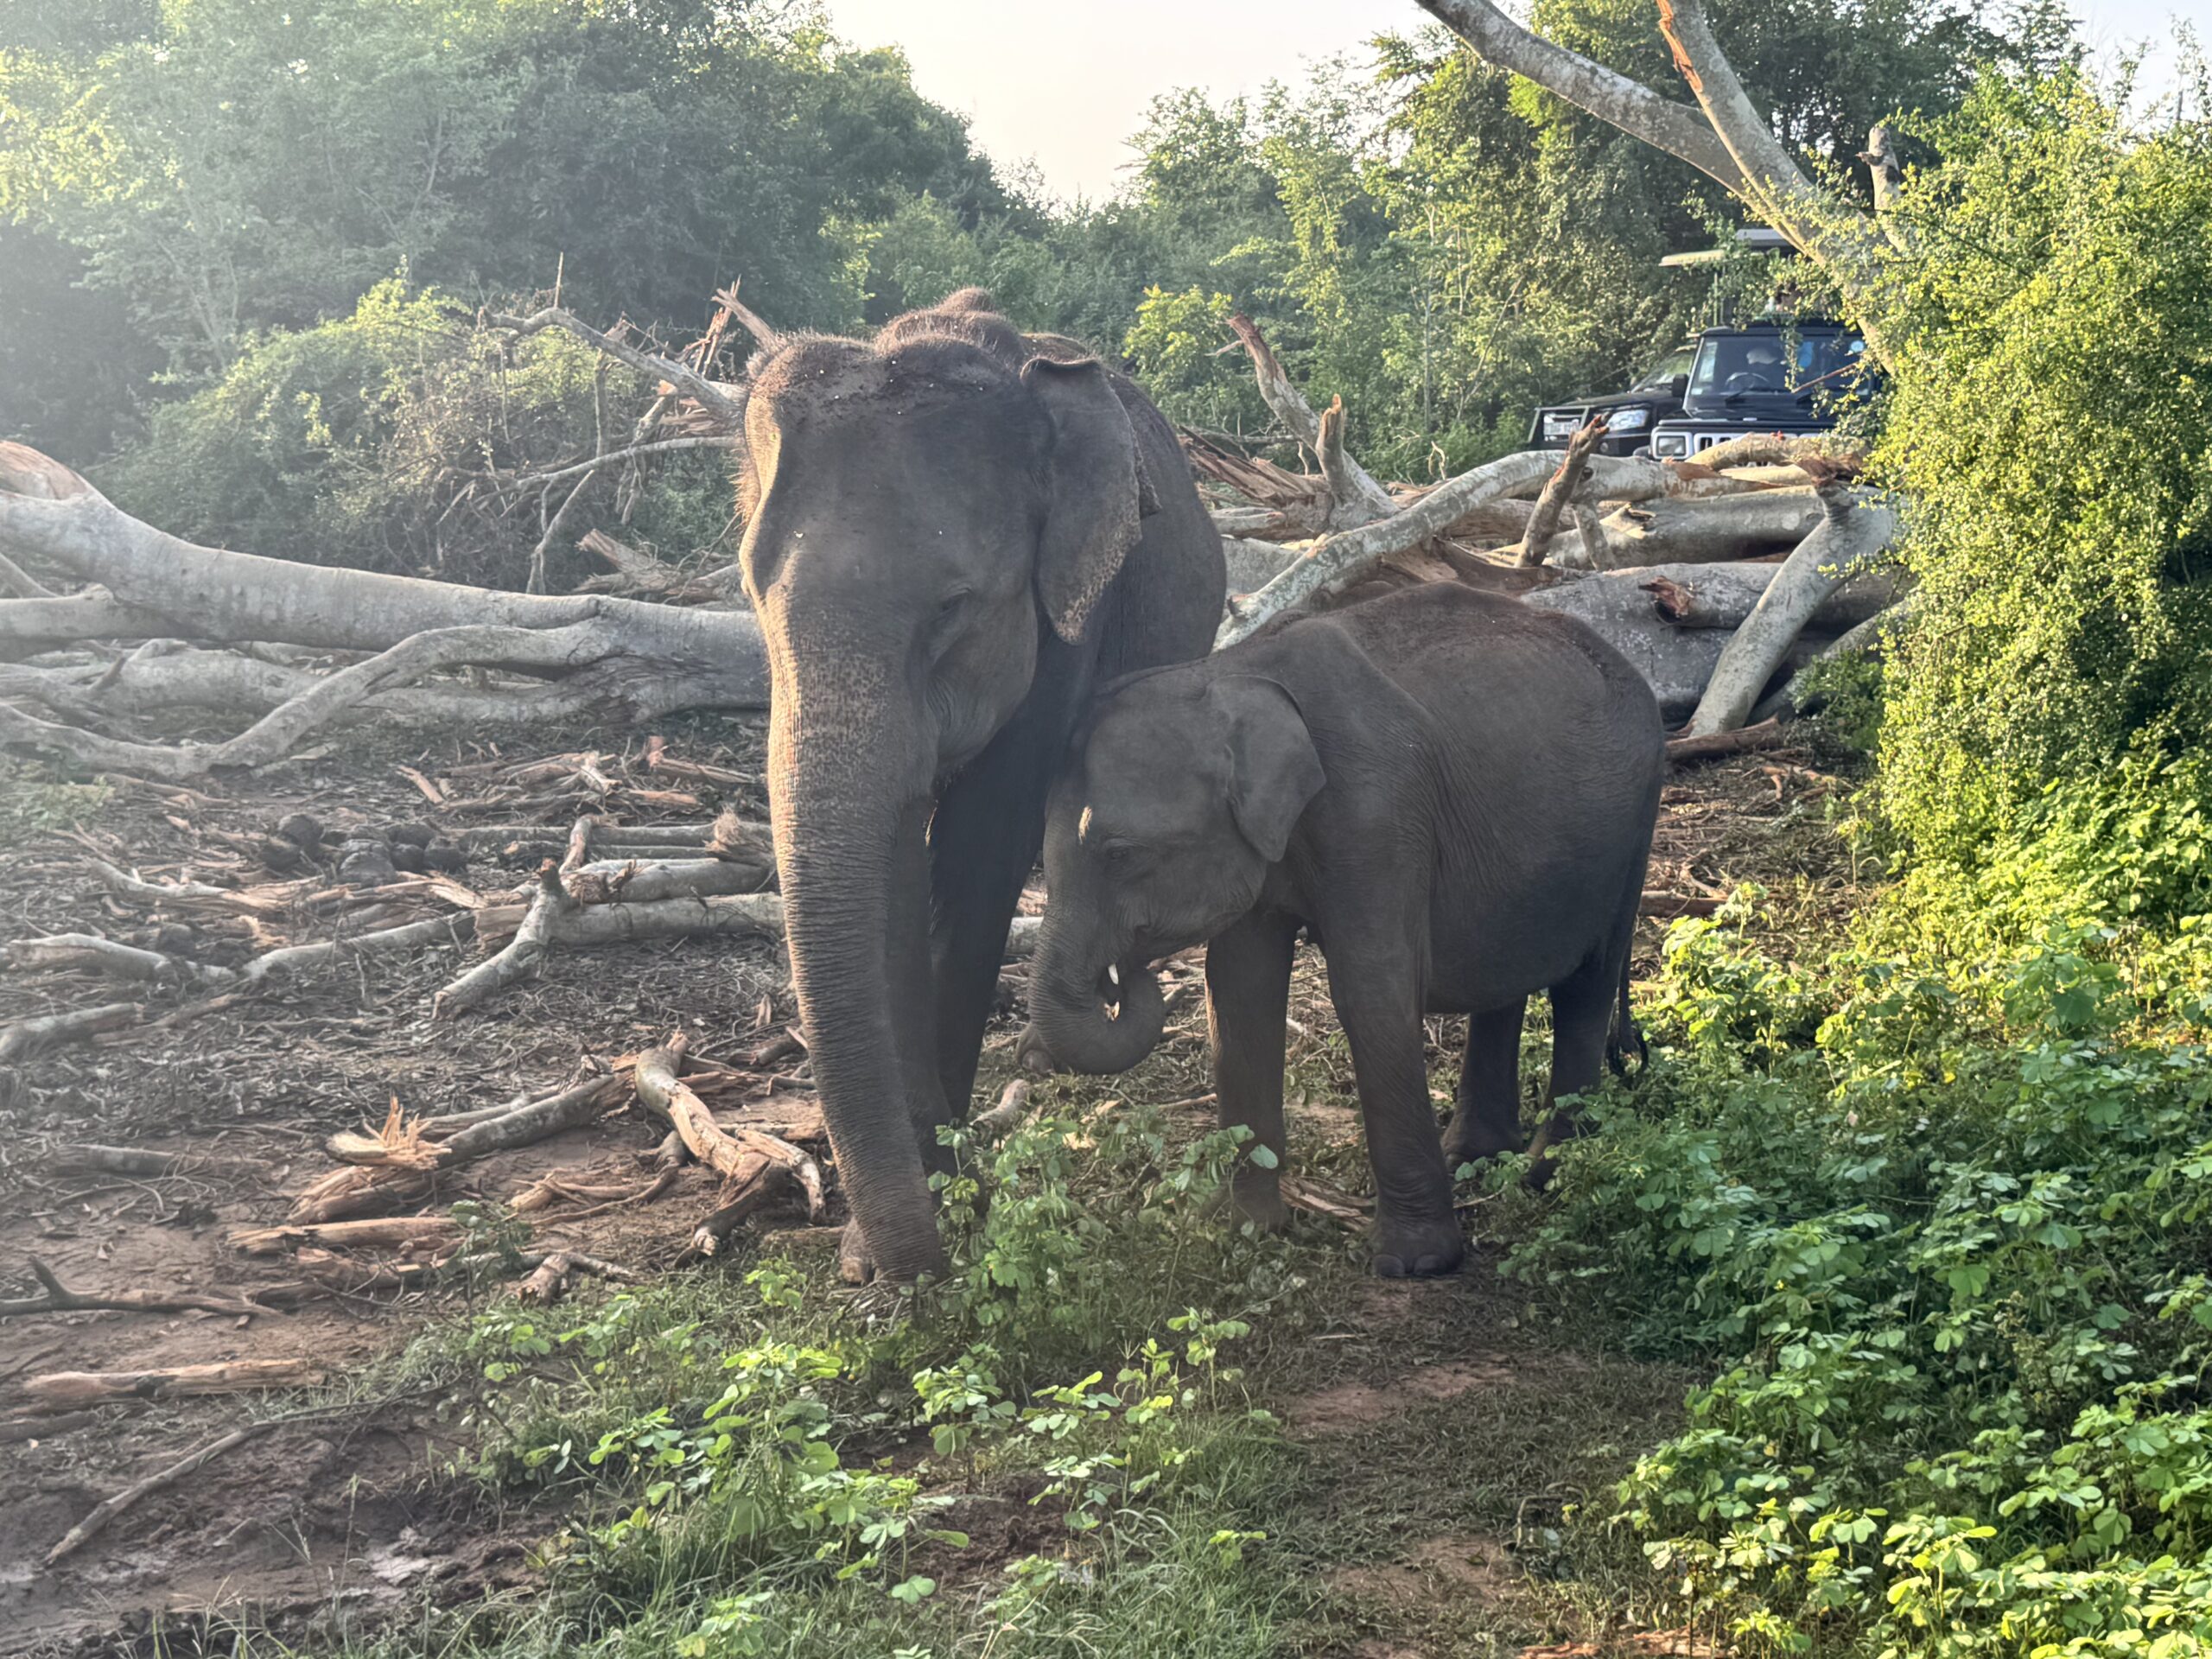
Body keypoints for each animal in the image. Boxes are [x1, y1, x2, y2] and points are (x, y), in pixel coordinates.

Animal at [734, 289, 1225, 1283]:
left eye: (952, 609)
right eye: (753, 597)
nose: (914, 1271)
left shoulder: (1073, 608)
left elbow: (983, 845)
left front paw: (947, 1202)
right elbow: (894, 860)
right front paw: (891, 1232)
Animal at [1020, 582, 1663, 1276]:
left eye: (1120, 853)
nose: (1121, 977)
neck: (1231, 671)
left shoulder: (1375, 811)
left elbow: (1370, 992)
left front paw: (1415, 1264)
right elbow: (1240, 993)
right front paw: (1249, 1227)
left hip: (1634, 825)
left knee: (1587, 982)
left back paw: (1549, 1175)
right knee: (1506, 974)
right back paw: (1473, 1158)